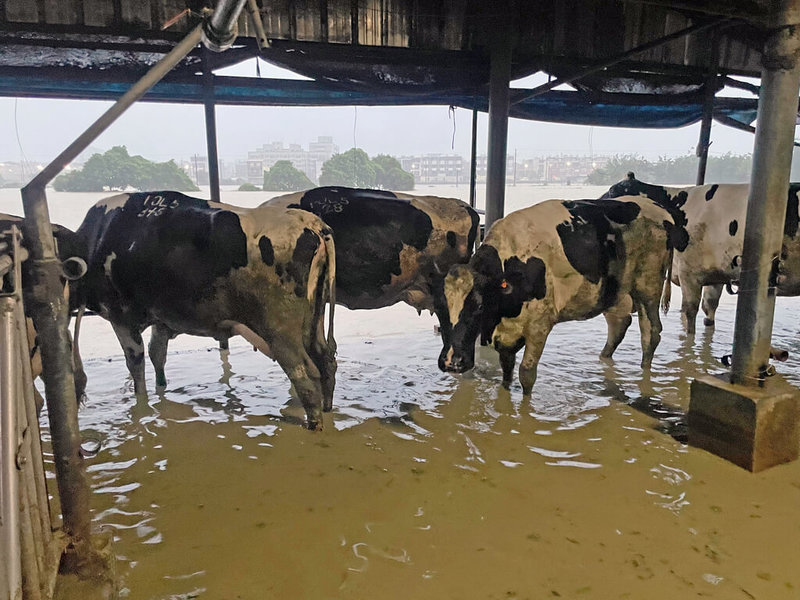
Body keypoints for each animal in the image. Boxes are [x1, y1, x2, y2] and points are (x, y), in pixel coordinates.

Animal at [70, 190, 340, 428]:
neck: (96, 239)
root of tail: (311, 223)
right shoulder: (162, 318)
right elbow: (157, 354)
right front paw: (161, 389)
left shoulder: (121, 317)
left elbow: (136, 364)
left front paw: (142, 404)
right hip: (313, 322)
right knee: (326, 363)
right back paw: (327, 410)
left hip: (279, 331)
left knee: (305, 374)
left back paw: (315, 425)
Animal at [440, 197, 680, 394]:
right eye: (440, 310)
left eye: (479, 306)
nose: (452, 362)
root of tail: (661, 211)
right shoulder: (506, 331)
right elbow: (507, 370)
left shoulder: (539, 325)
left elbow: (526, 374)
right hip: (614, 290)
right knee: (619, 323)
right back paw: (604, 358)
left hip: (648, 286)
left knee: (651, 332)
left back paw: (644, 373)